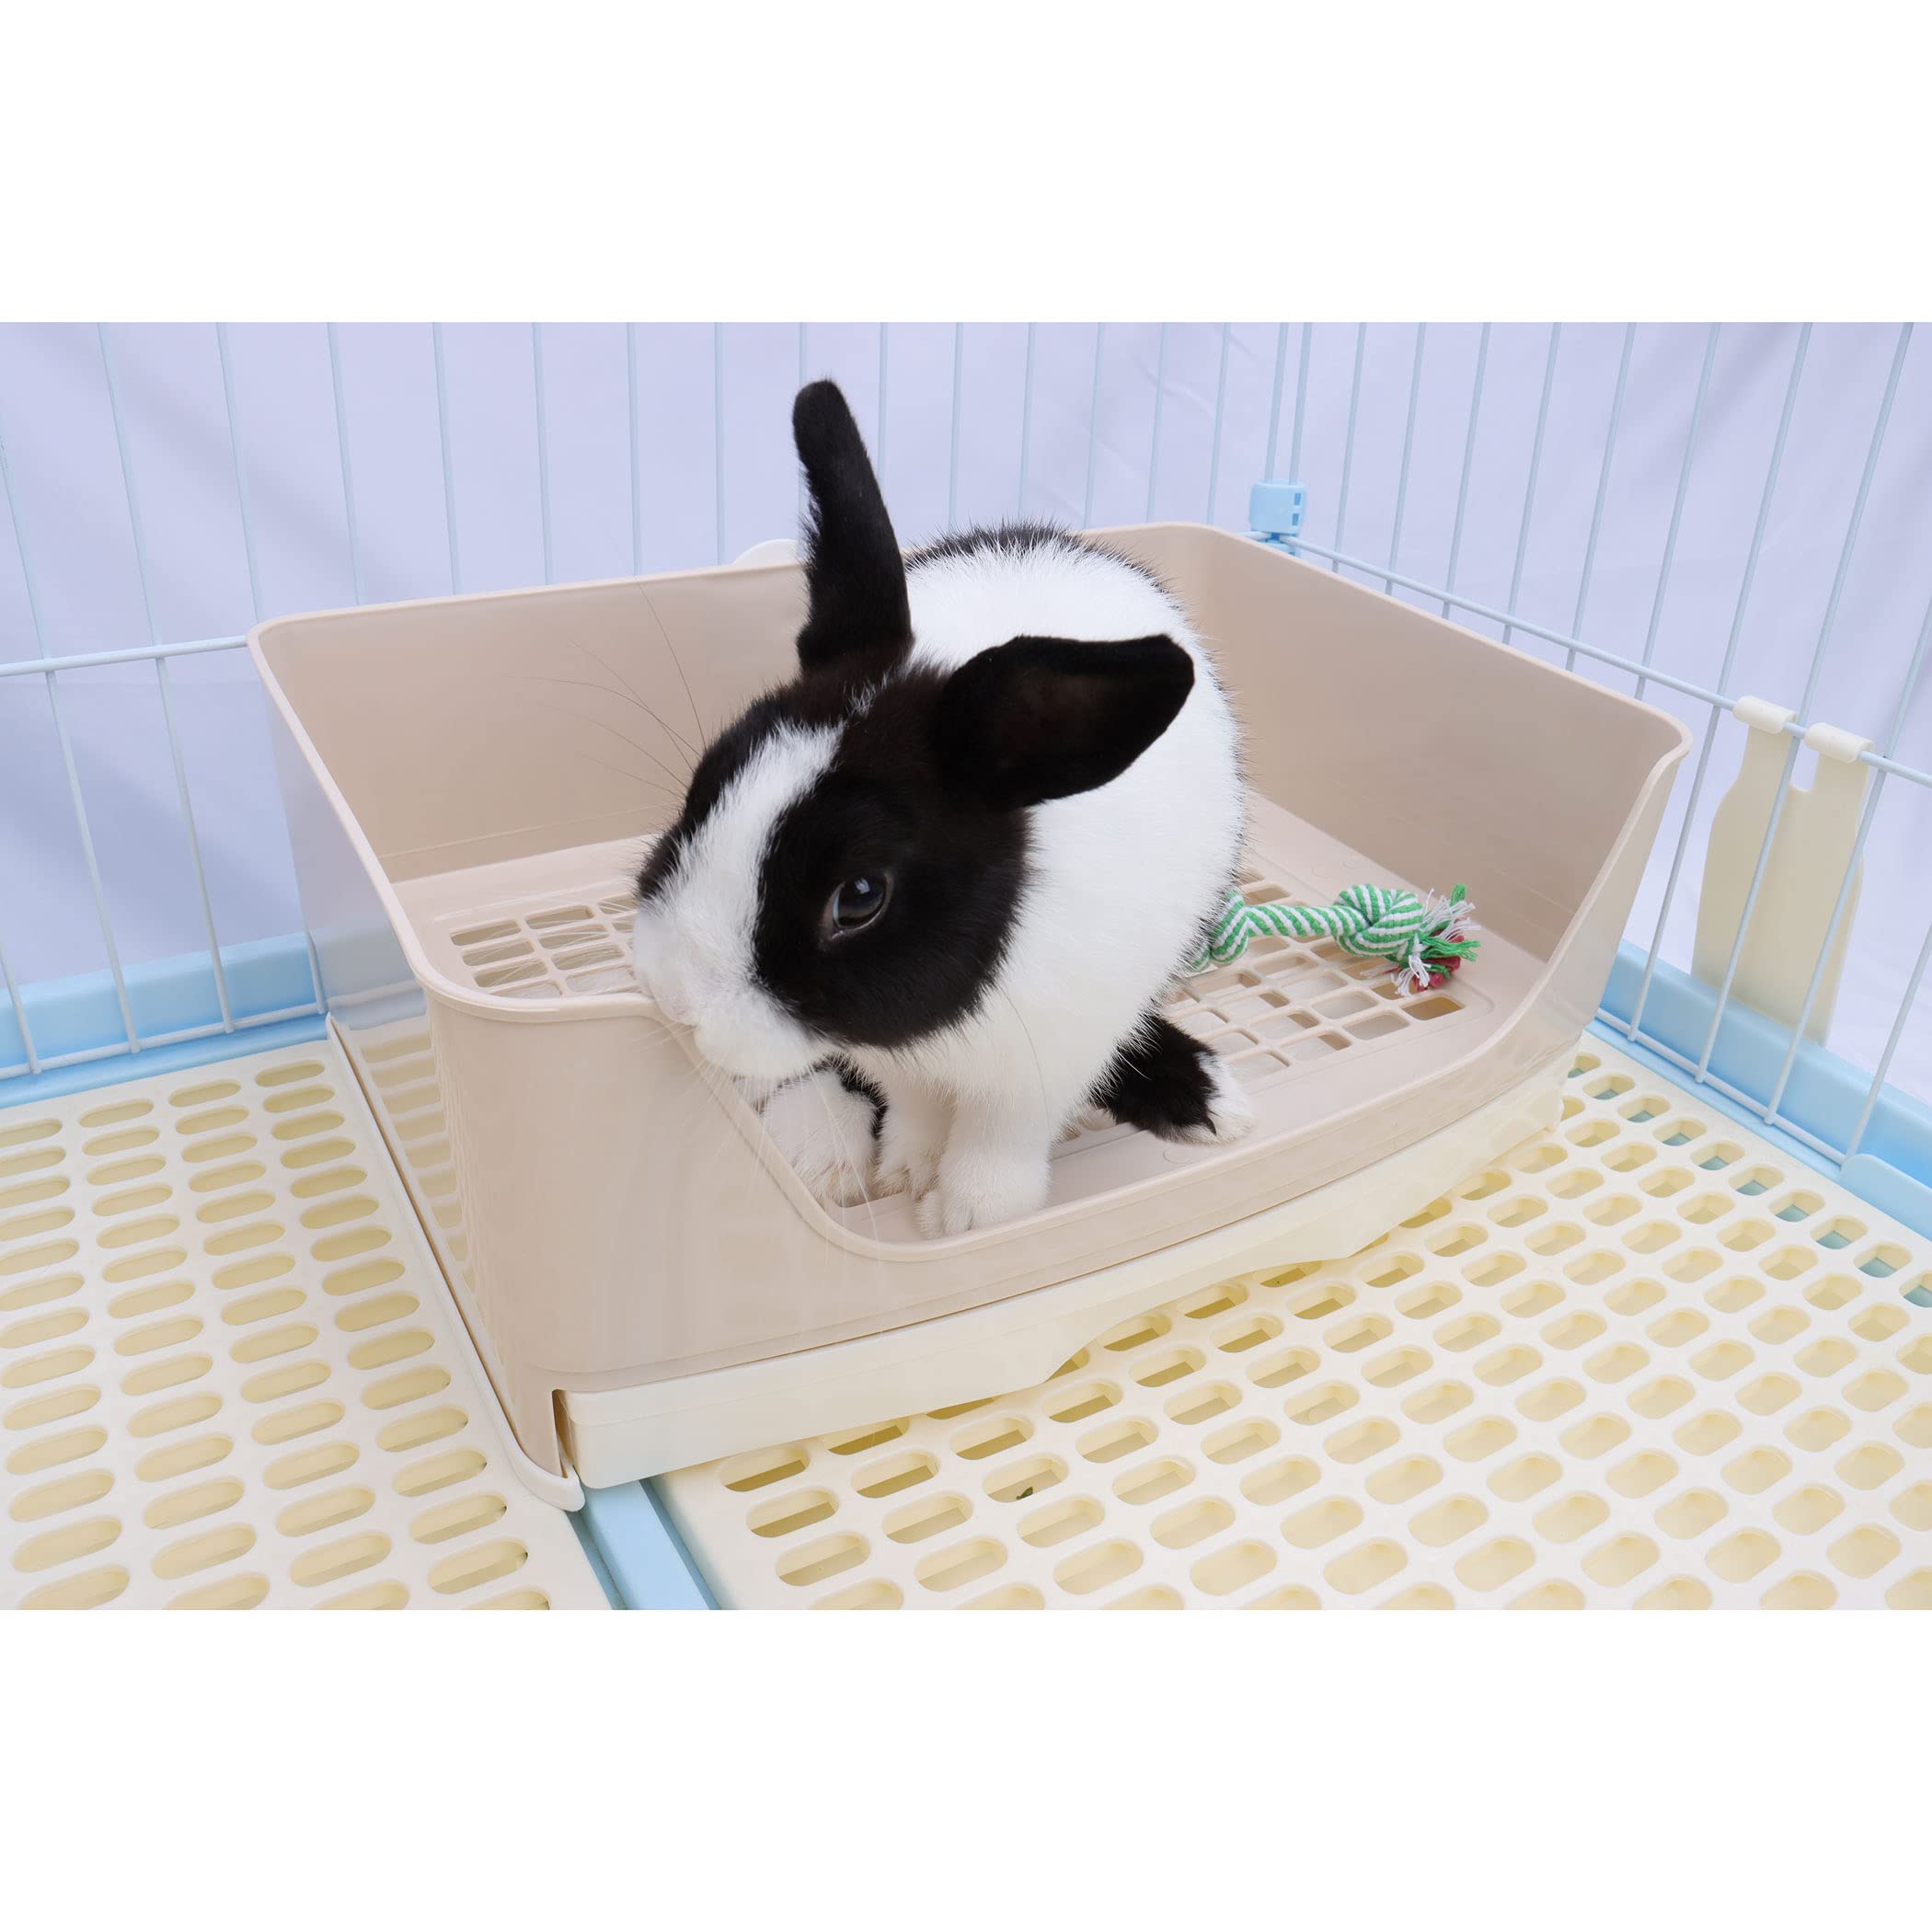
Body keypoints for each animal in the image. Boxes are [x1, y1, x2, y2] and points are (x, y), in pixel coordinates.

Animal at [630, 379, 1251, 1237]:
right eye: (706, 786)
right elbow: (912, 1105)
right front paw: (906, 1173)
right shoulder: (895, 1056)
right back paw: (817, 1147)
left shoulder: (1054, 1054)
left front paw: (970, 1217)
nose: (677, 1000)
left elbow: (1003, 1132)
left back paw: (1208, 1096)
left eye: (859, 897)